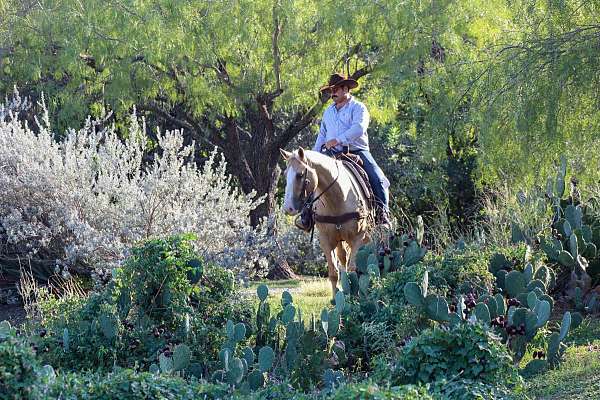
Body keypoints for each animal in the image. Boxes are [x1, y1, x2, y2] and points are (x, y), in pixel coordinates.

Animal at [280, 147, 372, 296]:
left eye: (300, 175)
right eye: (284, 174)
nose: (288, 208)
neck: (339, 198)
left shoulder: (357, 238)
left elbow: (353, 269)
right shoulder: (326, 241)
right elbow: (334, 273)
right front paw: (336, 298)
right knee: (343, 259)